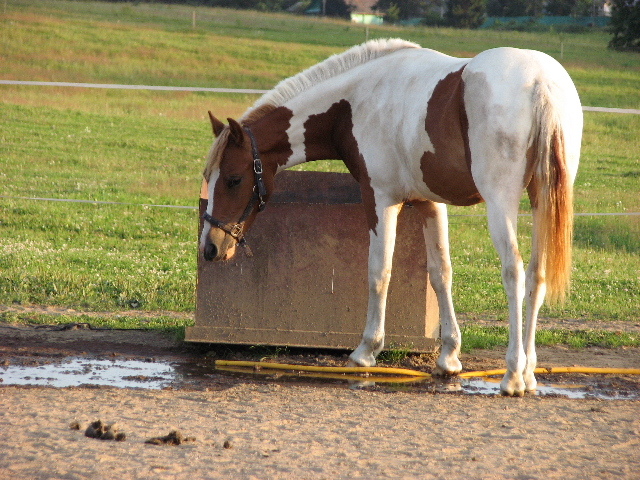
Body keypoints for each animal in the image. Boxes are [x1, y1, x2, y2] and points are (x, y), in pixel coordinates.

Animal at [201, 39, 584, 396]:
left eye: (233, 179)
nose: (211, 248)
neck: (354, 103)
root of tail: (540, 82)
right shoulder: (430, 203)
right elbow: (440, 273)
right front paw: (449, 357)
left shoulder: (380, 199)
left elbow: (379, 271)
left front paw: (366, 350)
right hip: (541, 199)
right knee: (536, 275)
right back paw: (530, 373)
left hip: (500, 202)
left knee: (514, 272)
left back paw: (513, 375)